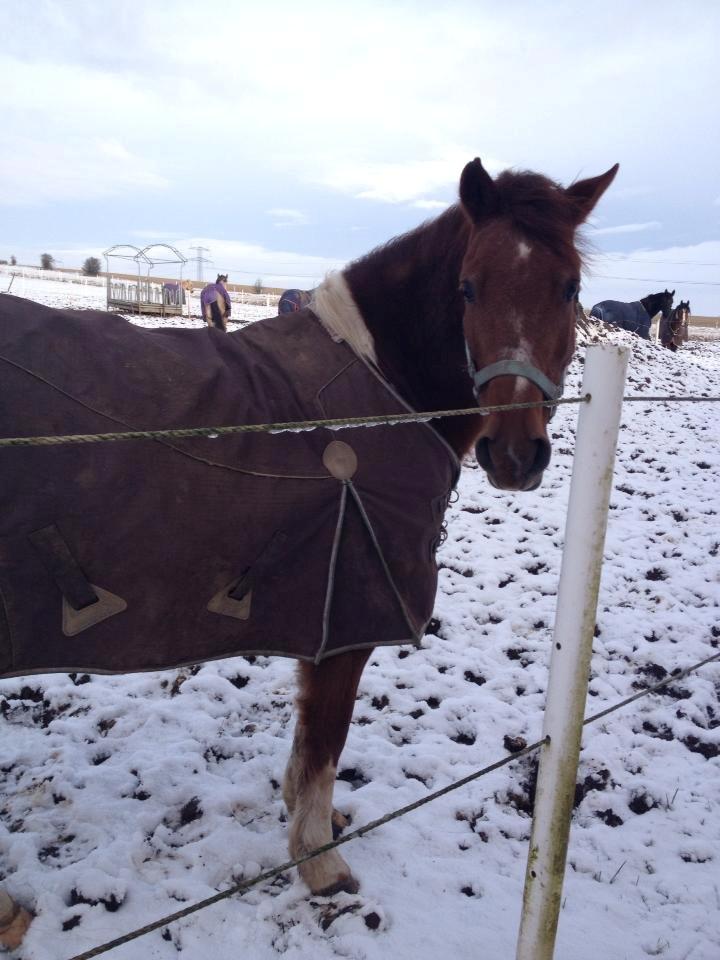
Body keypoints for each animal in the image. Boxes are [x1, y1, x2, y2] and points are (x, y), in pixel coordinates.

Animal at [0, 156, 620, 944]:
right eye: (469, 287)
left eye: (568, 287)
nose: (515, 455)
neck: (379, 390)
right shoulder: (346, 620)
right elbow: (325, 742)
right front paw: (320, 862)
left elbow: (307, 750)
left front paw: (310, 826)